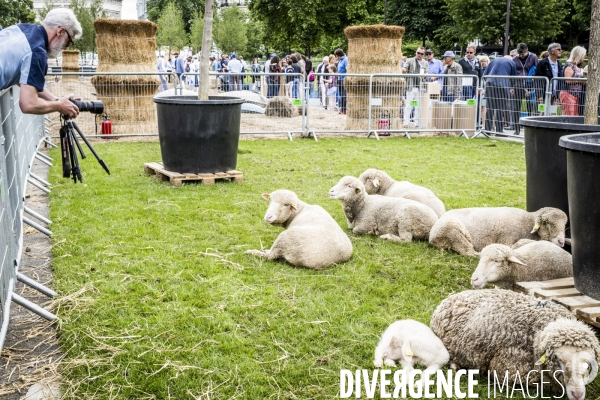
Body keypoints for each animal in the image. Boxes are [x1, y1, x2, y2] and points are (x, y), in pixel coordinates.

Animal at [428, 206, 564, 256]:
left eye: (564, 225)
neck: (527, 221)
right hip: (454, 233)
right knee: (468, 251)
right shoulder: (506, 238)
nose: (561, 242)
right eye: (546, 223)